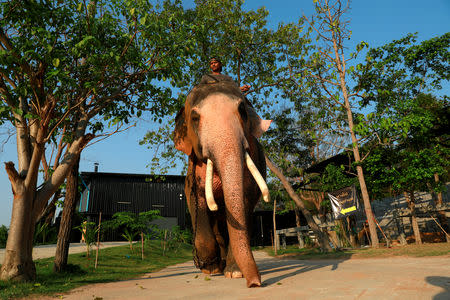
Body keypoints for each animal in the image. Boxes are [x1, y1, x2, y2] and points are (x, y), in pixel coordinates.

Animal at [172, 81, 270, 288]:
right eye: (194, 118)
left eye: (242, 110)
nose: (254, 284)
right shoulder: (192, 170)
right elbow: (196, 201)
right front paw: (209, 267)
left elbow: (245, 201)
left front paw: (234, 273)